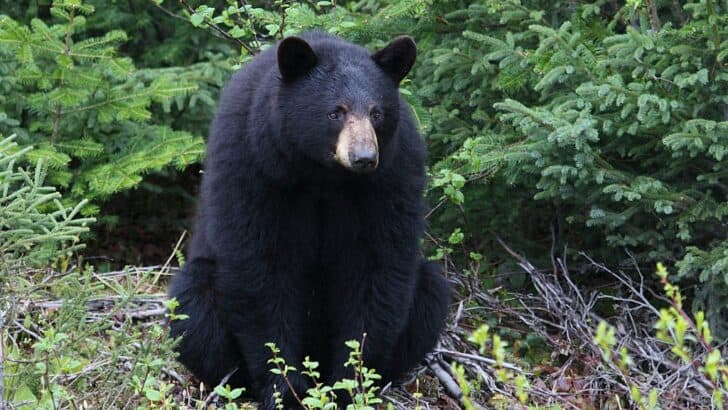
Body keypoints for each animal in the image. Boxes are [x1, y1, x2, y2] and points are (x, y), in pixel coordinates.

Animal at [168, 32, 451, 409]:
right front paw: (285, 389)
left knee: (430, 290)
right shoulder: (251, 161)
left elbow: (377, 266)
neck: (321, 173)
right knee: (192, 304)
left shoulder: (393, 173)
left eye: (376, 113)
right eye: (335, 112)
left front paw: (349, 386)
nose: (363, 157)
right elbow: (260, 267)